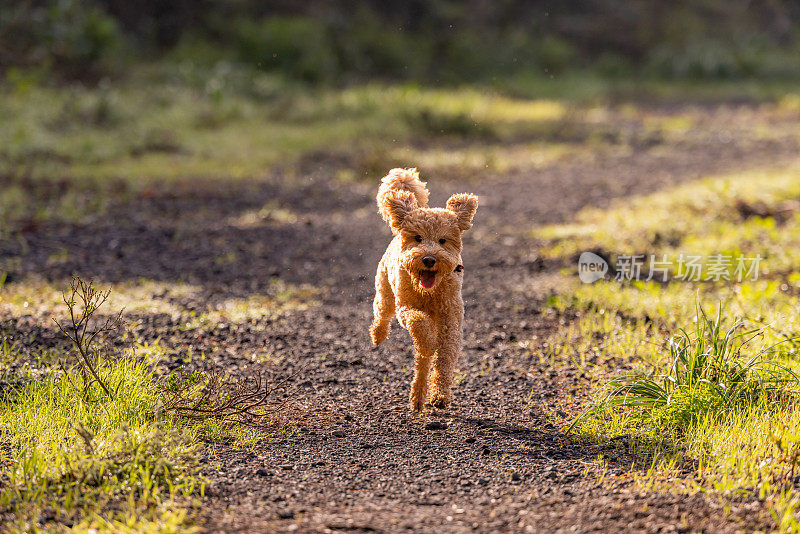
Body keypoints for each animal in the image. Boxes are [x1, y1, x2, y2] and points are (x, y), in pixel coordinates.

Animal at [372, 170, 478, 412]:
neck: (430, 293)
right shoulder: (406, 308)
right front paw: (429, 342)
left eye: (442, 240)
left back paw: (419, 398)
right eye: (418, 238)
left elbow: (445, 359)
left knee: (422, 364)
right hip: (385, 291)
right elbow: (419, 323)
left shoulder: (451, 320)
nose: (429, 259)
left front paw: (440, 396)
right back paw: (378, 335)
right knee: (382, 314)